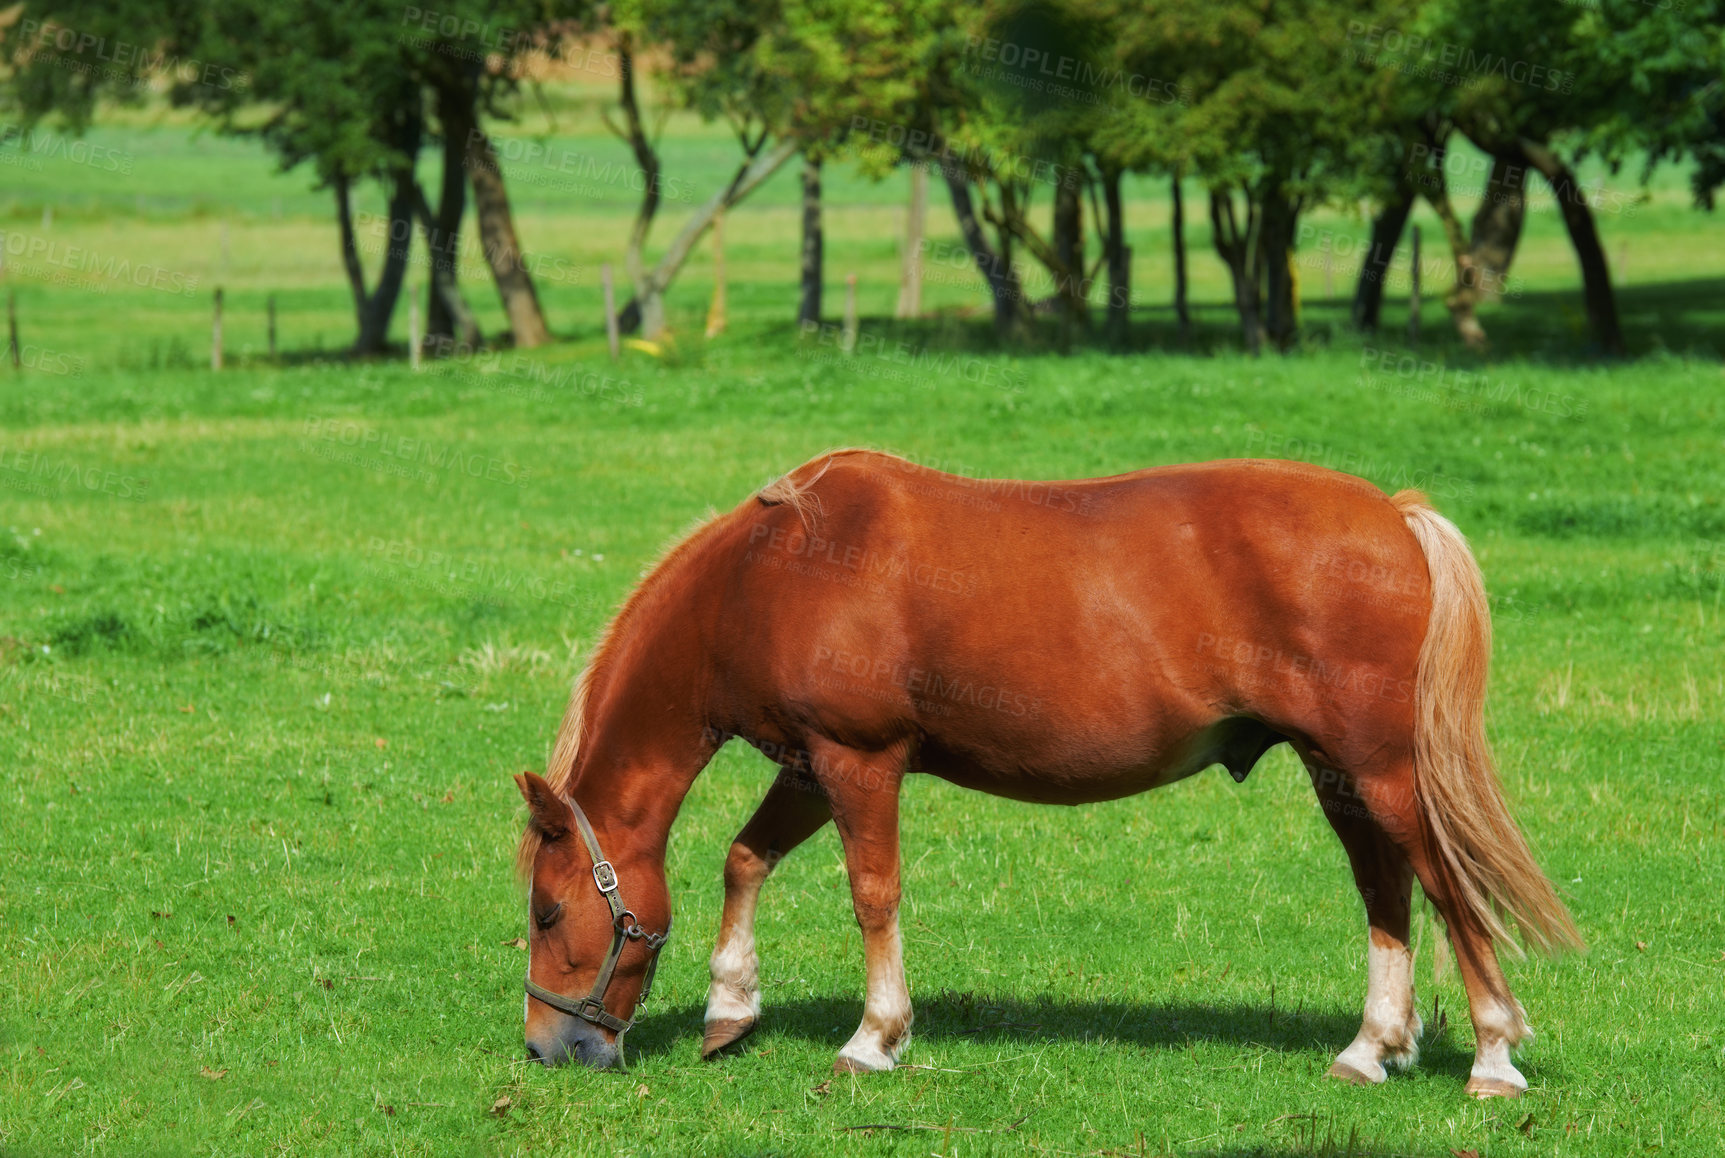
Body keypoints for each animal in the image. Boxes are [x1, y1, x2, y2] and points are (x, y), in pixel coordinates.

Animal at [510, 452, 1580, 1097]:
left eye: (548, 913)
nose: (548, 1046)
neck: (775, 569)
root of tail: (1393, 516)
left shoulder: (859, 764)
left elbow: (871, 895)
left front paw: (873, 1037)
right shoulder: (810, 770)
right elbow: (743, 859)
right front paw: (731, 1009)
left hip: (1380, 772)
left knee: (1446, 890)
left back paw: (1493, 1056)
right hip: (1340, 775)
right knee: (1384, 891)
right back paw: (1369, 1049)